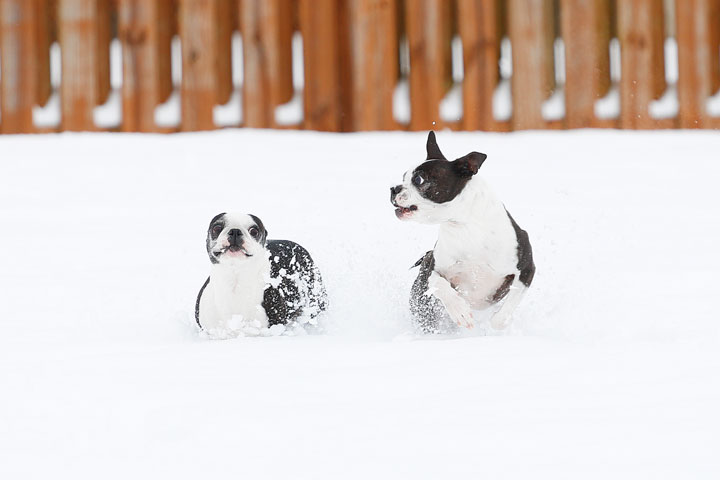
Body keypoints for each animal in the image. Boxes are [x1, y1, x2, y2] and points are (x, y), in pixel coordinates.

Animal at [390, 131, 532, 334]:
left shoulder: (527, 268)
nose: (393, 189)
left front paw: (499, 323)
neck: (464, 226)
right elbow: (441, 285)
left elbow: (504, 312)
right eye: (403, 176)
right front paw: (460, 311)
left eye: (419, 180)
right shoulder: (432, 269)